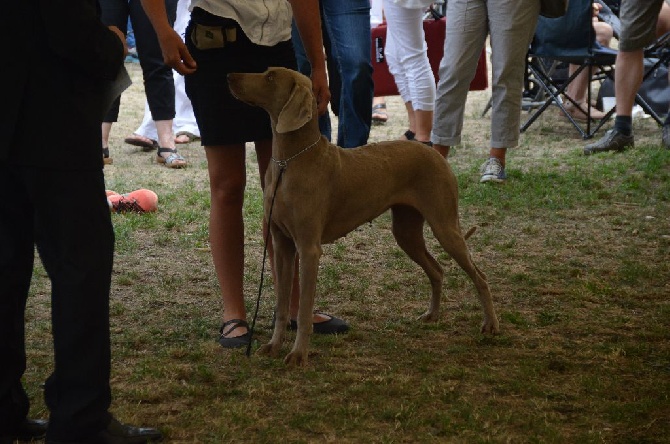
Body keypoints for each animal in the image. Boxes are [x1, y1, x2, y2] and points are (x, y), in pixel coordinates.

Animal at [230, 66, 498, 364]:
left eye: (269, 77)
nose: (229, 76)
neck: (290, 162)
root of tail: (434, 152)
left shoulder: (309, 249)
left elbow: (304, 309)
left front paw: (298, 354)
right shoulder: (281, 245)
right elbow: (282, 304)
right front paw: (274, 346)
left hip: (444, 226)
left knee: (479, 276)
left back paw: (490, 325)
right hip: (406, 232)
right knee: (437, 270)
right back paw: (432, 315)